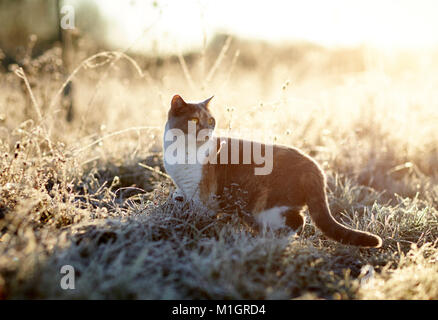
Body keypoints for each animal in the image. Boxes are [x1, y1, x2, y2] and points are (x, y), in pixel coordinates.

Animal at [163, 94, 382, 249]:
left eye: (210, 121)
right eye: (193, 120)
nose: (208, 132)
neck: (182, 151)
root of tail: (314, 166)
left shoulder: (202, 194)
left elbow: (200, 216)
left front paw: (197, 228)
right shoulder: (185, 189)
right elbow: (179, 198)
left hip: (266, 206)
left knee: (297, 221)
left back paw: (270, 241)